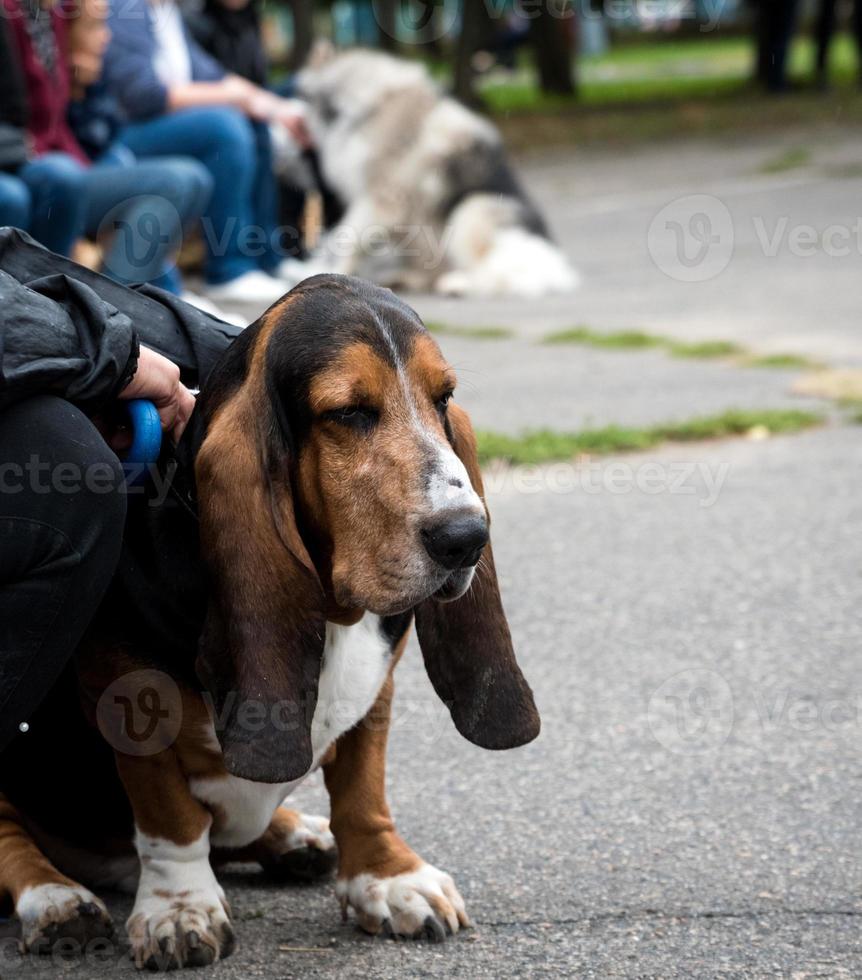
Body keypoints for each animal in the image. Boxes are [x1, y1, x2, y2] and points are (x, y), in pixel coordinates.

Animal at [0, 272, 540, 968]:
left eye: (444, 397)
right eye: (349, 412)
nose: (467, 538)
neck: (336, 612)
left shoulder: (379, 691)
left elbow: (362, 788)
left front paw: (388, 877)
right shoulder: (130, 700)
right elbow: (171, 815)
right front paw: (181, 909)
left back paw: (293, 837)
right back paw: (56, 899)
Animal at [288, 50, 580, 294]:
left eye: (294, 95)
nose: (286, 120)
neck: (366, 106)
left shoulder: (381, 199)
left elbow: (346, 240)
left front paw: (329, 273)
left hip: (471, 212)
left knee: (492, 273)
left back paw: (458, 283)